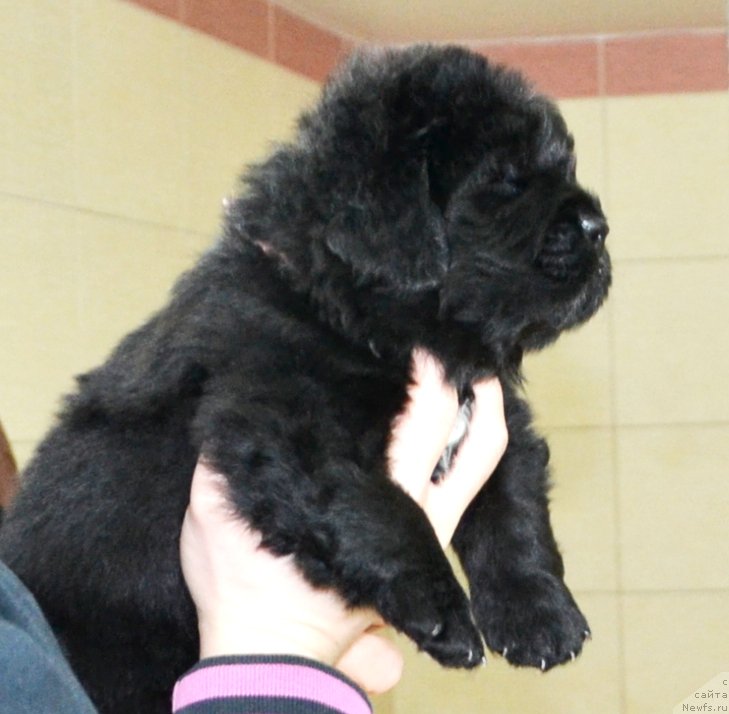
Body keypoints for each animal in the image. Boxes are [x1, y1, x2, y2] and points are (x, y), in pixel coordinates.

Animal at [1, 46, 608, 712]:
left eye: (562, 165)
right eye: (505, 179)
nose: (598, 227)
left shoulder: (496, 420)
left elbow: (514, 509)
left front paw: (540, 615)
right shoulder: (292, 424)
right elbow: (383, 510)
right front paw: (442, 610)